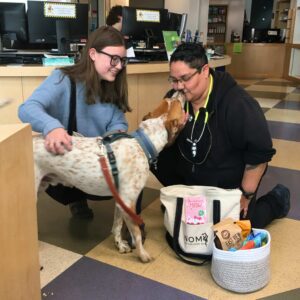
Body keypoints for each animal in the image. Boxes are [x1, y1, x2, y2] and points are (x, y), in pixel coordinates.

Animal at [34, 98, 186, 262]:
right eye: (177, 103)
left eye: (169, 100)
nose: (181, 94)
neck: (141, 144)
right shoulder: (128, 201)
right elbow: (137, 234)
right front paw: (142, 254)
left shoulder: (121, 201)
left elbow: (117, 226)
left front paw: (120, 245)